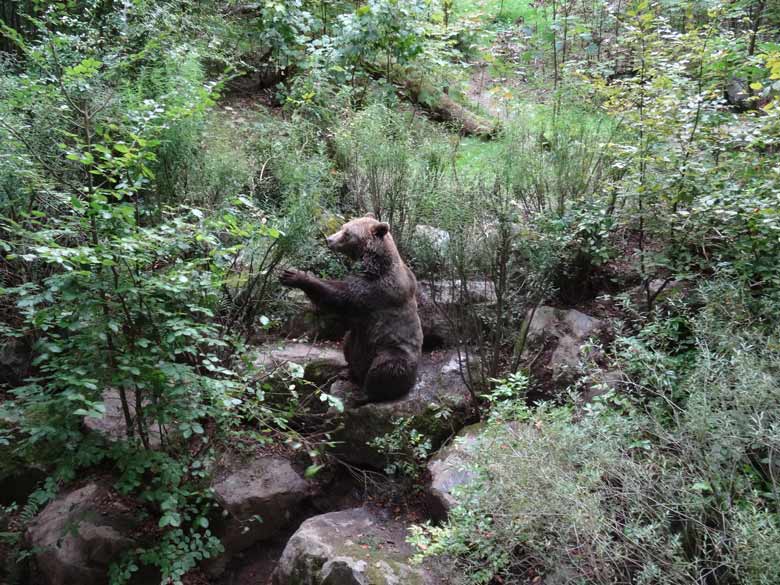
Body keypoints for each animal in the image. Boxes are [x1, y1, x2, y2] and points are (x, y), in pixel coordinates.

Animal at [280, 213, 424, 402]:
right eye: (343, 226)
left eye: (347, 233)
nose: (328, 239)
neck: (374, 264)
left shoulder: (377, 290)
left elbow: (341, 296)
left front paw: (295, 276)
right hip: (357, 341)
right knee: (348, 345)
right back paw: (348, 373)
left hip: (393, 350)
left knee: (387, 367)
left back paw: (364, 394)